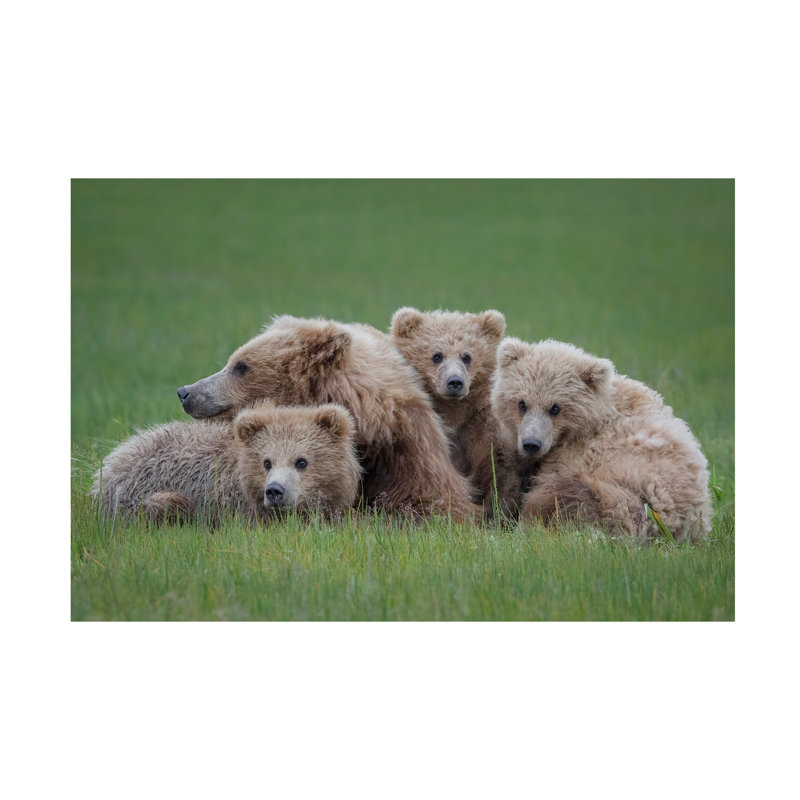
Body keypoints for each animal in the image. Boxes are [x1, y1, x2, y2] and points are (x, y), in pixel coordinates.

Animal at [390, 307, 521, 517]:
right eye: (437, 355)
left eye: (467, 356)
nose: (455, 382)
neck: (453, 411)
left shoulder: (480, 424)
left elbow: (496, 466)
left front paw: (498, 511)